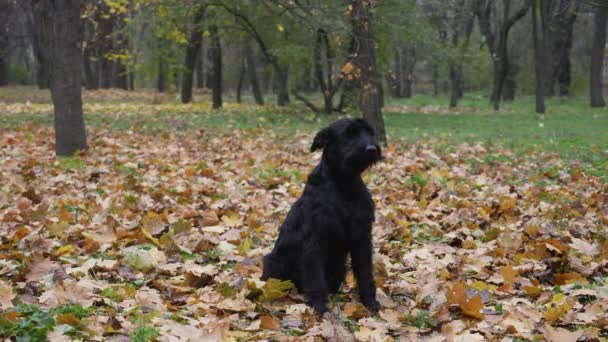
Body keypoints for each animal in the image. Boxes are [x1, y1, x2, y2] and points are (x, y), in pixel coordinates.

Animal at [260, 118, 380, 316]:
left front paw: (369, 302)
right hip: (273, 263)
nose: (371, 148)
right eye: (348, 133)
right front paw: (319, 306)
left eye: (370, 132)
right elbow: (315, 277)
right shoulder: (314, 241)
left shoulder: (362, 238)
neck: (344, 183)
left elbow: (365, 272)